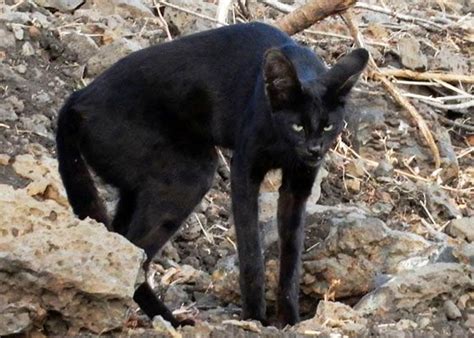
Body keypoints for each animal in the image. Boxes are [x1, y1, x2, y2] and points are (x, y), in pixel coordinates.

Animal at [54, 21, 366, 328]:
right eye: (298, 126)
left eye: (328, 126)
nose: (314, 150)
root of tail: (78, 98)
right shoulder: (244, 172)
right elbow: (250, 250)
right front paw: (255, 317)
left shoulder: (298, 186)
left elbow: (292, 254)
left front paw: (290, 319)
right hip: (192, 174)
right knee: (135, 253)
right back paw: (173, 320)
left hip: (137, 189)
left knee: (120, 239)